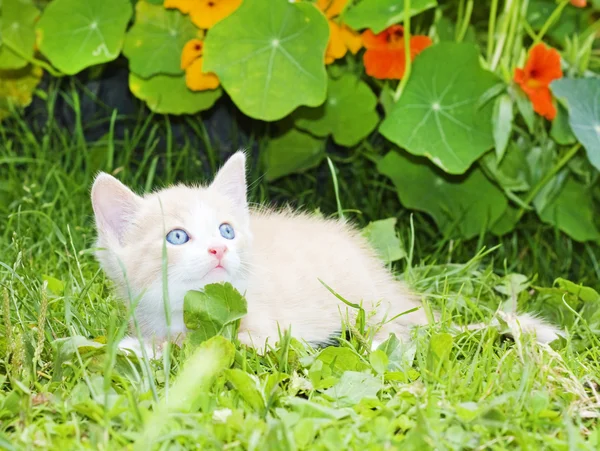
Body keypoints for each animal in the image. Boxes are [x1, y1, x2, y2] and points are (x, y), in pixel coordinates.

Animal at [91, 152, 560, 360]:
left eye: (226, 230)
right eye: (177, 236)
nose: (219, 247)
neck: (185, 311)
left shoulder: (268, 333)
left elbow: (207, 344)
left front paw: (142, 349)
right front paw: (141, 344)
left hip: (368, 307)